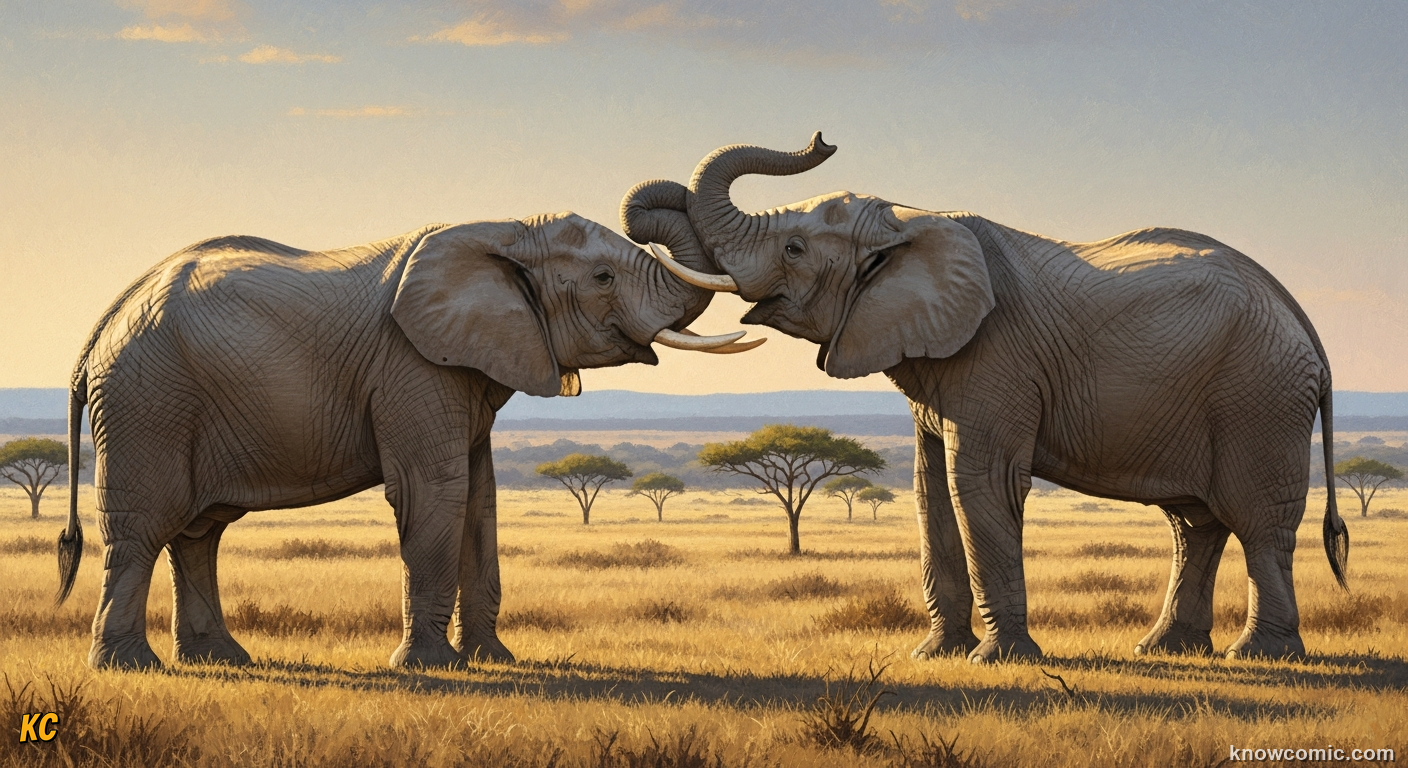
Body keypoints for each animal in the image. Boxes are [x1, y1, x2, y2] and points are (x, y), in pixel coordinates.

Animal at [54, 209, 759, 670]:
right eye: (604, 279)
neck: (502, 231)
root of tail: (101, 327)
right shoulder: (412, 364)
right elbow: (434, 493)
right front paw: (431, 668)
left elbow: (479, 500)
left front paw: (495, 660)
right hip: (147, 399)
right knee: (144, 526)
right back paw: (128, 667)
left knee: (199, 530)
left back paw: (223, 661)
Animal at [625, 133, 1350, 663]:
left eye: (796, 248)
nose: (822, 138)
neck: (911, 218)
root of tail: (1307, 330)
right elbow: (930, 490)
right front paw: (935, 656)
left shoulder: (996, 355)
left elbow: (979, 481)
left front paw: (998, 661)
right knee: (1193, 522)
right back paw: (1164, 651)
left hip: (1259, 395)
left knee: (1256, 519)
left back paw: (1259, 657)